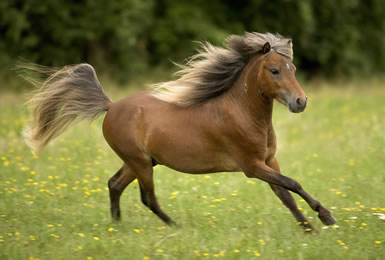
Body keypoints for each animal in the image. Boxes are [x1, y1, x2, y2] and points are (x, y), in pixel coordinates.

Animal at [22, 32, 334, 232]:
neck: (243, 113)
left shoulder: (269, 161)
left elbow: (286, 193)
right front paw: (326, 217)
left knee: (114, 185)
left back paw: (116, 226)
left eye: (293, 68)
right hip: (139, 162)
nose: (300, 102)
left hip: (140, 161)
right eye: (274, 71)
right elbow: (292, 184)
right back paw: (176, 226)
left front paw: (311, 226)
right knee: (147, 197)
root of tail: (110, 107)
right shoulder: (252, 166)